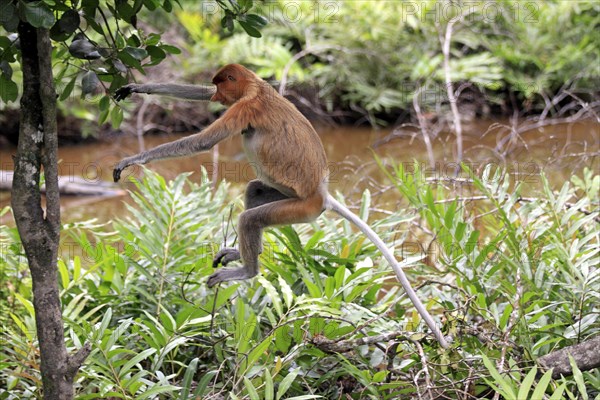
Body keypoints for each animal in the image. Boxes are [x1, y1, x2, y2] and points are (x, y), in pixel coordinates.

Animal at [113, 62, 450, 346]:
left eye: (222, 85)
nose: (219, 94)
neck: (256, 87)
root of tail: (321, 194)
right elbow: (199, 97)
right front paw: (138, 87)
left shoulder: (244, 108)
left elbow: (201, 142)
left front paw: (132, 159)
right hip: (285, 197)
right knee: (254, 191)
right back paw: (242, 253)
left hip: (302, 210)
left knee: (250, 219)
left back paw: (247, 270)